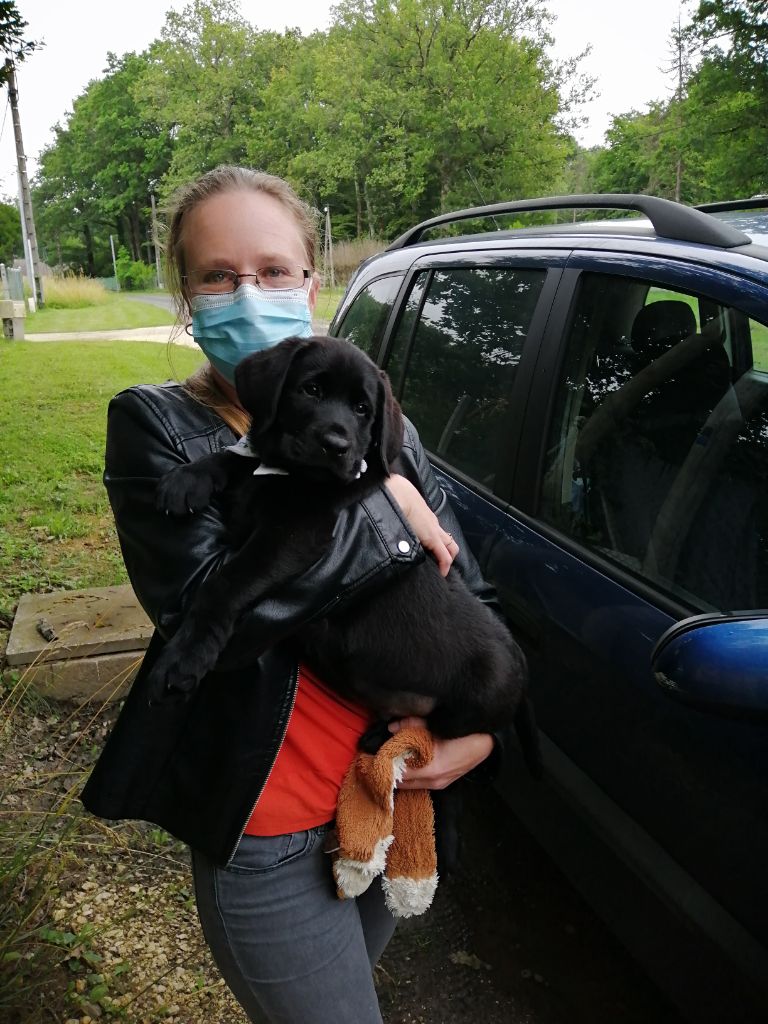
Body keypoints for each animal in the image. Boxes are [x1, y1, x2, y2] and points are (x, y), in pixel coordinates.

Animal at [148, 335, 540, 774]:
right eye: (311, 389)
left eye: (362, 409)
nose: (336, 446)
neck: (292, 473)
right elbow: (239, 457)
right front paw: (188, 478)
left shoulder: (295, 535)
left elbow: (226, 581)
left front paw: (184, 658)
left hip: (470, 704)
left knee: (437, 729)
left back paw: (384, 737)